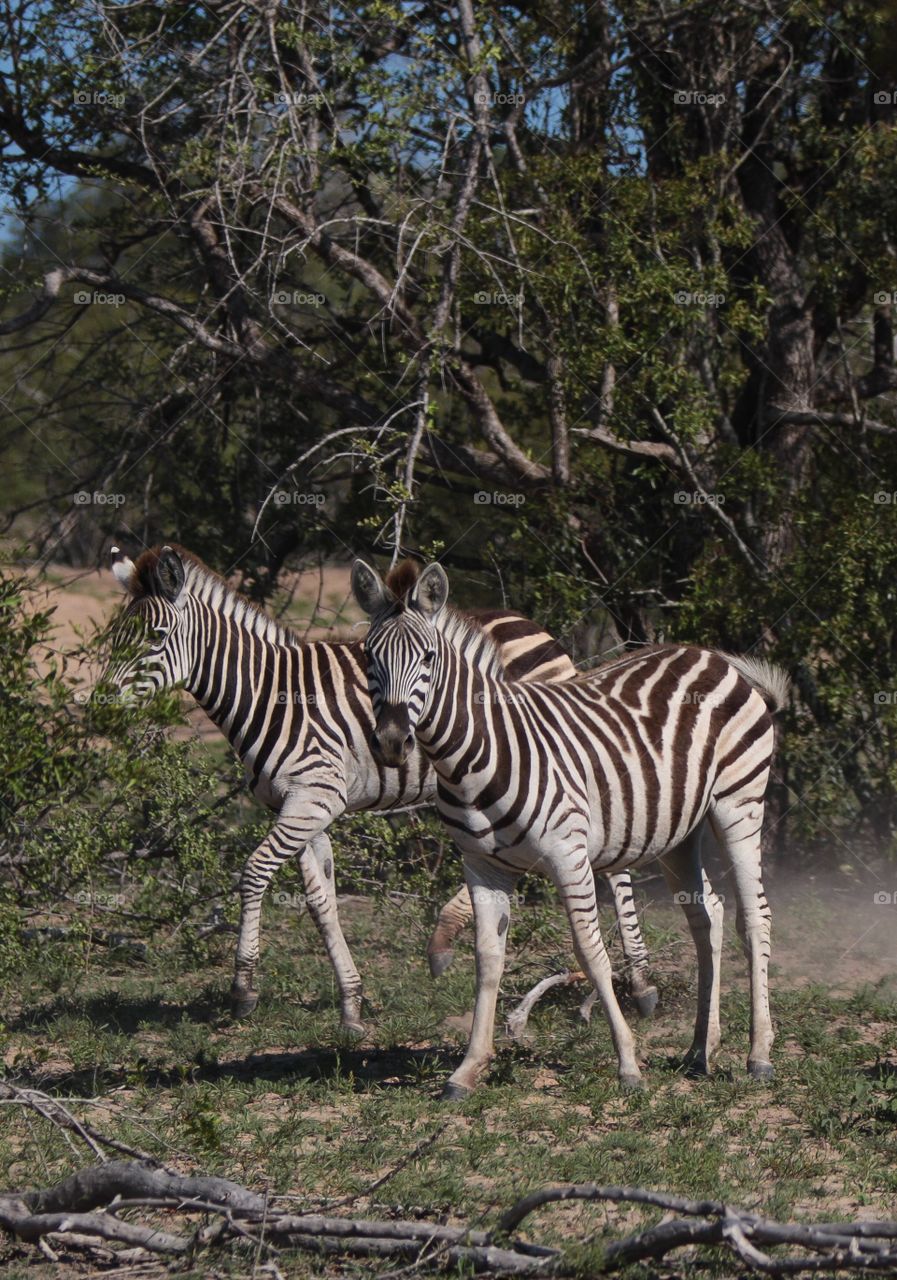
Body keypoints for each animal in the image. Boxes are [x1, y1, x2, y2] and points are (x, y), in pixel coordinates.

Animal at [106, 544, 657, 1031]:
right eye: (115, 636)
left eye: (155, 635)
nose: (101, 707)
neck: (267, 694)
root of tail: (538, 630)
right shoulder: (299, 807)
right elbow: (321, 902)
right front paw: (351, 1003)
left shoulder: (315, 796)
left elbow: (254, 871)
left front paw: (243, 990)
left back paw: (640, 982)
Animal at [352, 558, 789, 1098]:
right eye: (368, 657)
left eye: (429, 657)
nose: (392, 742)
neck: (474, 754)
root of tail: (715, 658)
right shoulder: (481, 865)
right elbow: (488, 958)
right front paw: (468, 1068)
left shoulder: (568, 855)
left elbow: (590, 952)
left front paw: (627, 1065)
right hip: (677, 831)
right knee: (706, 916)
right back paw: (699, 1050)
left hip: (738, 803)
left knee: (755, 917)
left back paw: (759, 1055)